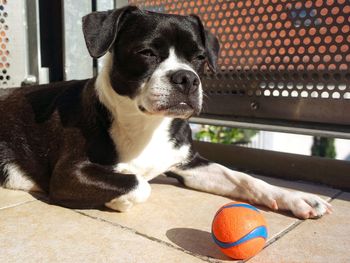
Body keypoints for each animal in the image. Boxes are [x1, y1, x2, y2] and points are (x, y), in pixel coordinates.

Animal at [0, 6, 330, 220]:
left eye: (199, 57)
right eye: (147, 53)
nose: (187, 78)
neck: (147, 124)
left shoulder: (190, 164)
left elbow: (245, 178)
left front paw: (296, 196)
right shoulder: (70, 174)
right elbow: (139, 184)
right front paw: (117, 202)